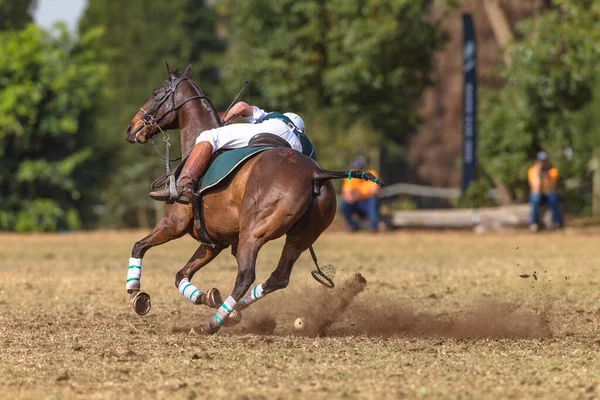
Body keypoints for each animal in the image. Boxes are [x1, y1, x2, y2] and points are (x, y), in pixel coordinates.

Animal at [124, 63, 382, 334]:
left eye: (156, 93)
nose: (131, 128)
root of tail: (316, 173)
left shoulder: (173, 224)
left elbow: (139, 245)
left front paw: (136, 294)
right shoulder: (213, 242)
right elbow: (180, 275)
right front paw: (208, 296)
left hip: (254, 232)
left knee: (246, 275)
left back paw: (213, 322)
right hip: (302, 236)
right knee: (278, 277)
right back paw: (234, 310)